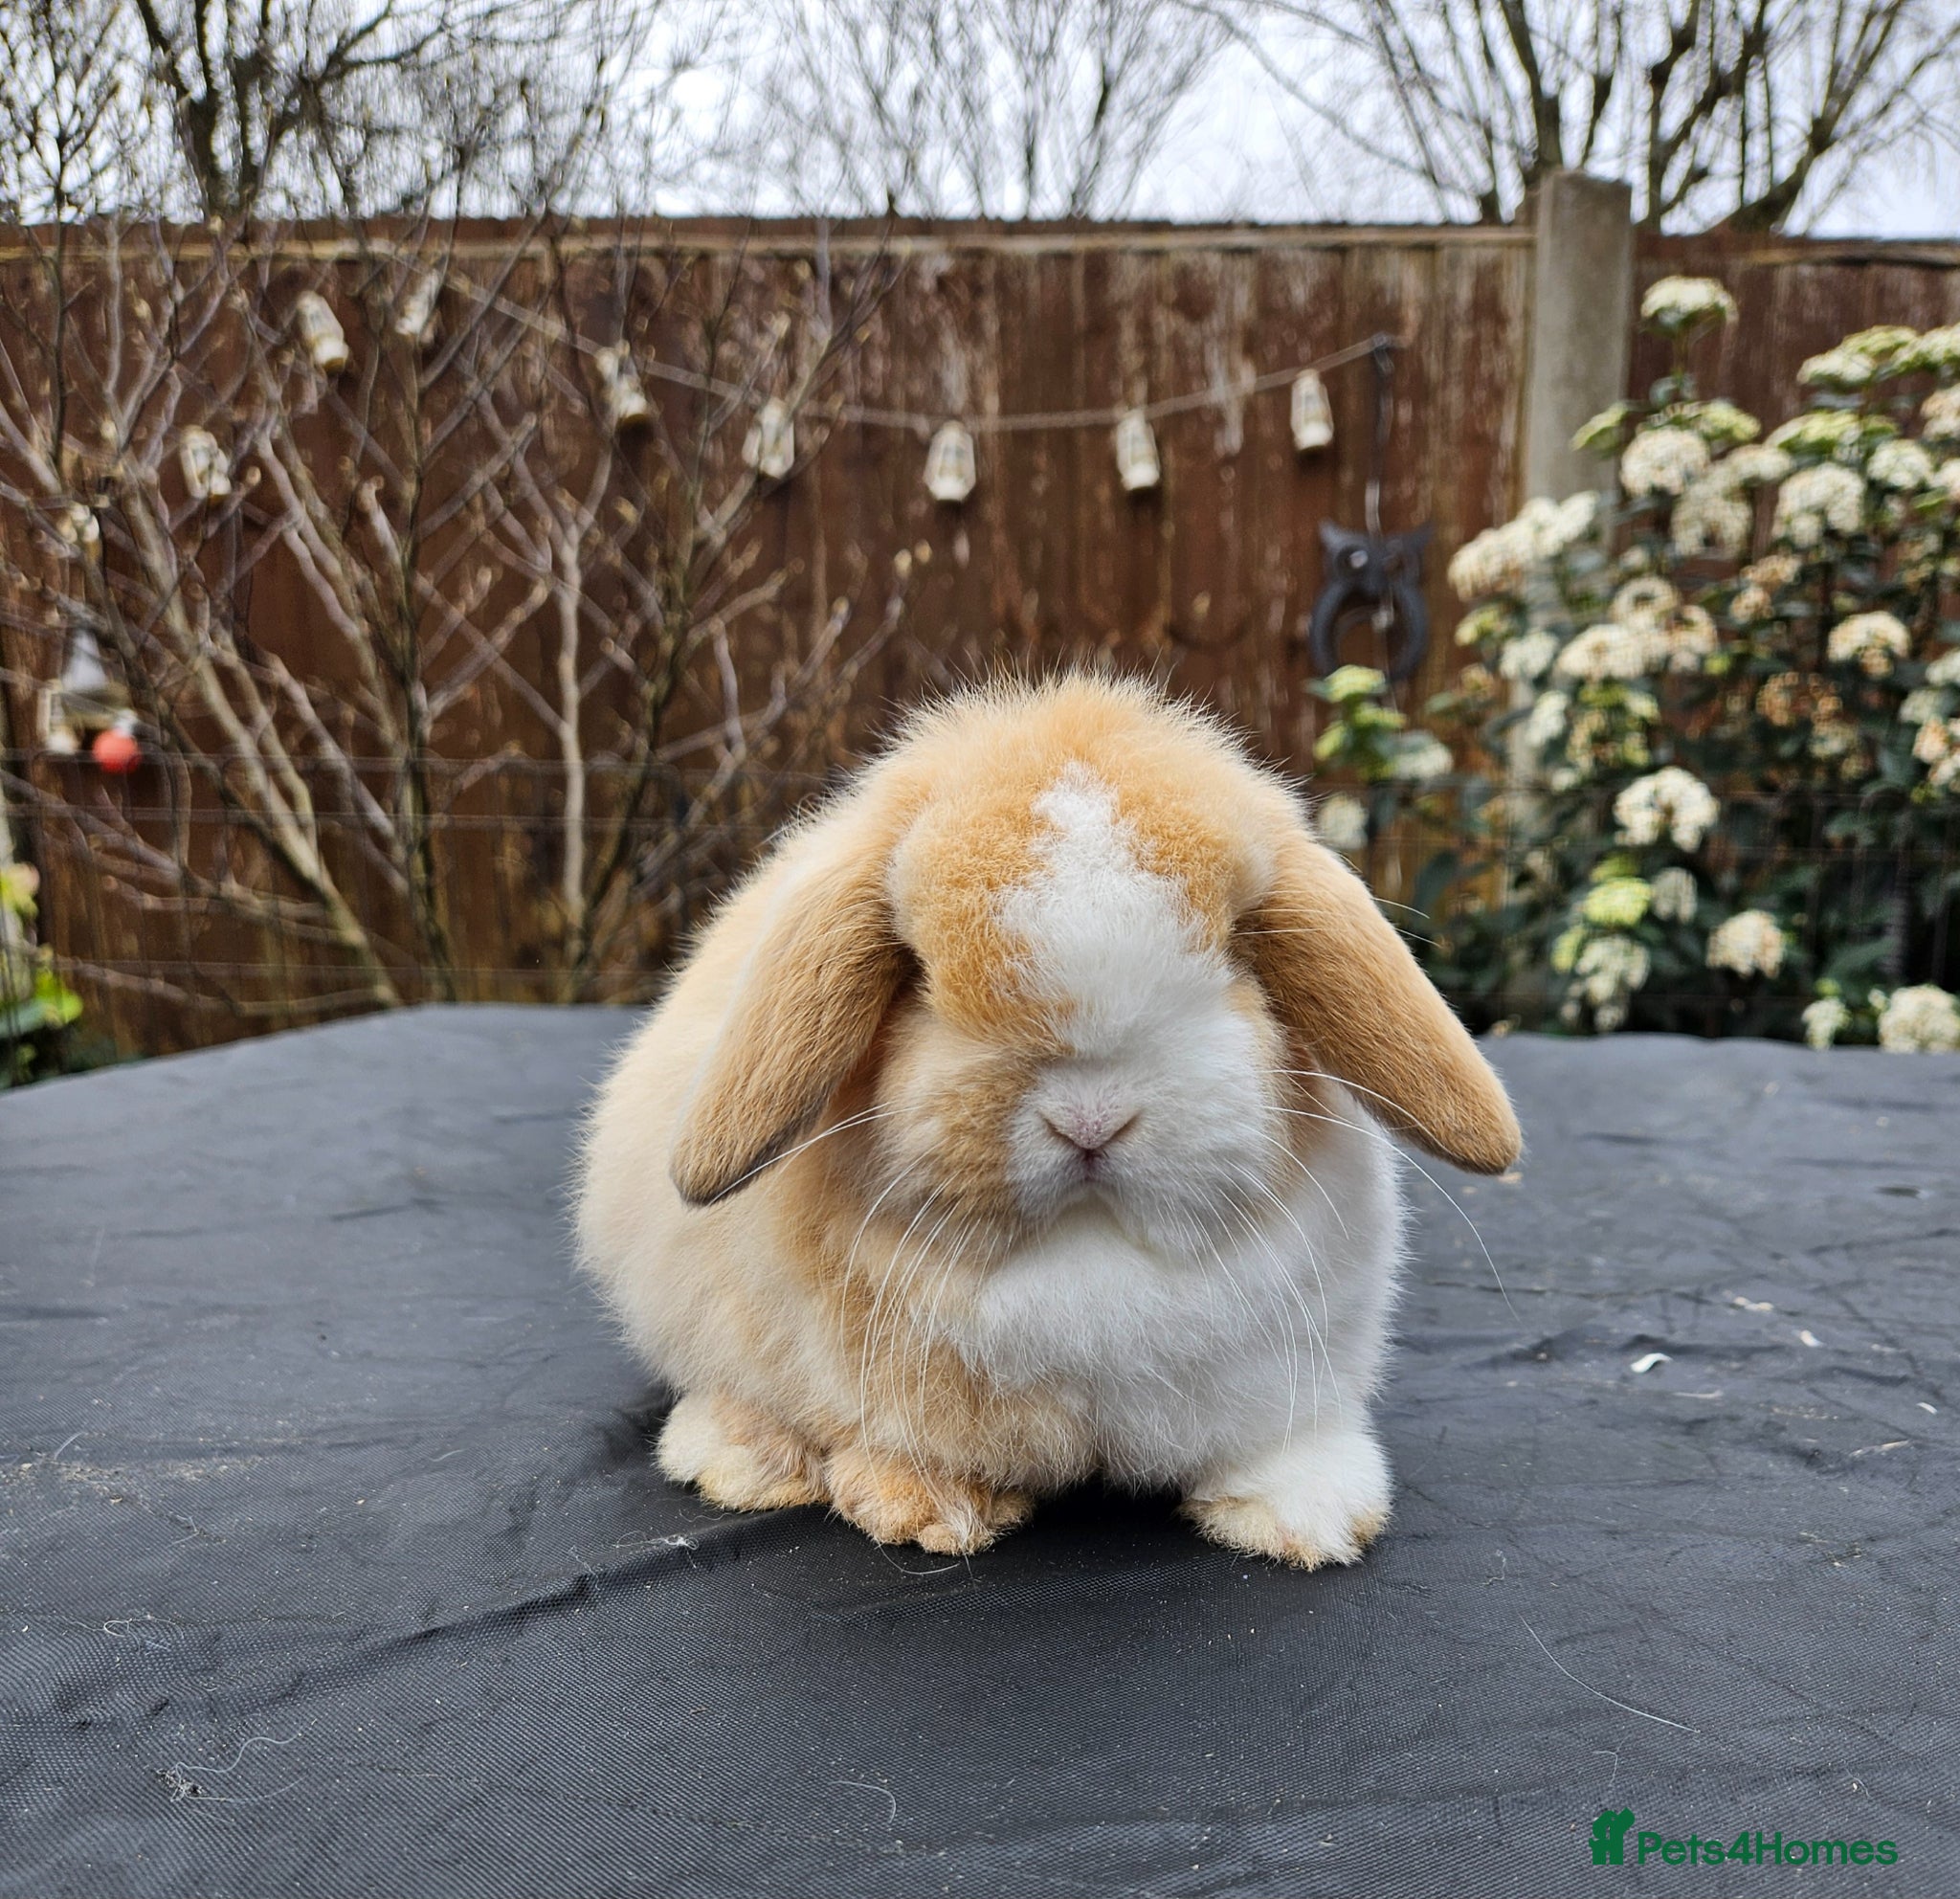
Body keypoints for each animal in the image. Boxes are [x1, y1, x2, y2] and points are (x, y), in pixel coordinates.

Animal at [576, 675, 1520, 1566]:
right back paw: (743, 1461)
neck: (1088, 1259)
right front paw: (928, 1510)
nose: (1091, 1116)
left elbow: (1281, 1443)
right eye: (917, 972)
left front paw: (1310, 1518)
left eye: (1234, 952)